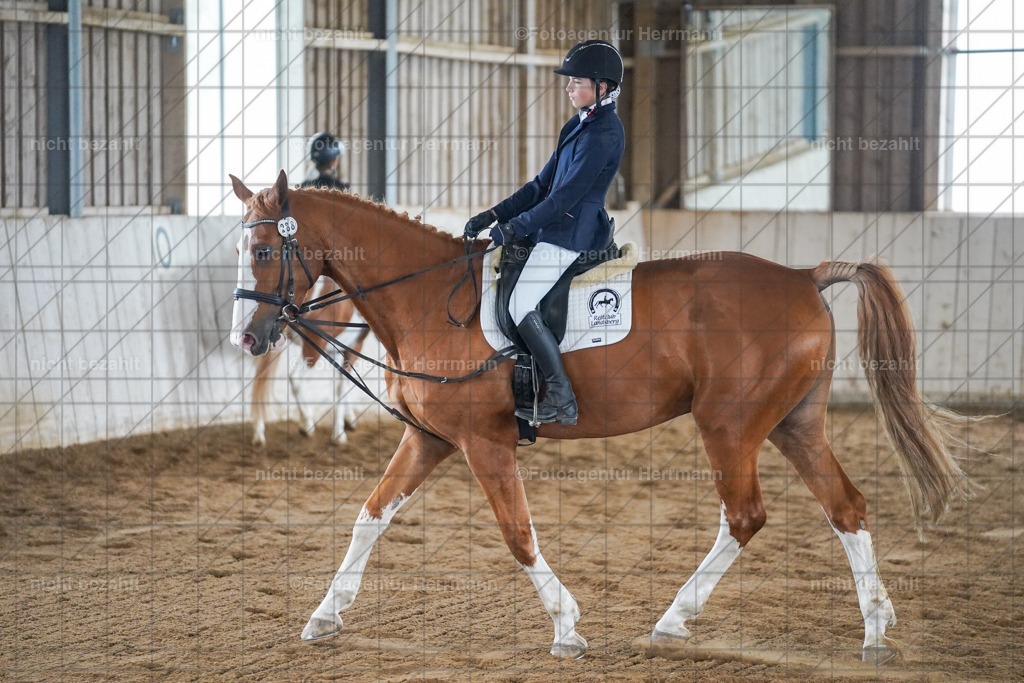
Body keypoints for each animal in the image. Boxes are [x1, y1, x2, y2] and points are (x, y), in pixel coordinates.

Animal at [250, 276, 371, 446]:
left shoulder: (337, 350)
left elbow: (342, 384)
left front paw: (348, 419)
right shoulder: (354, 345)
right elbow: (343, 386)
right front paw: (339, 433)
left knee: (260, 381)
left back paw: (259, 433)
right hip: (313, 348)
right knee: (294, 379)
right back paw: (306, 424)